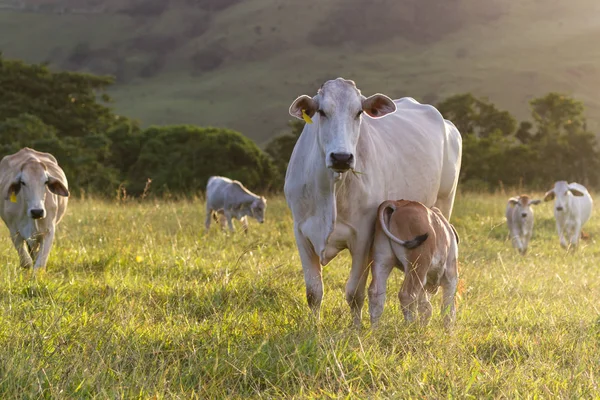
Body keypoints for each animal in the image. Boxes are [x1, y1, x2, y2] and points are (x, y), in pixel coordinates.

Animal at [366, 200, 460, 328]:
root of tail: (397, 204)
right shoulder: (451, 277)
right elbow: (448, 311)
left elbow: (426, 307)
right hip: (418, 264)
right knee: (407, 295)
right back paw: (410, 326)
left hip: (382, 260)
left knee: (376, 294)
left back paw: (374, 329)